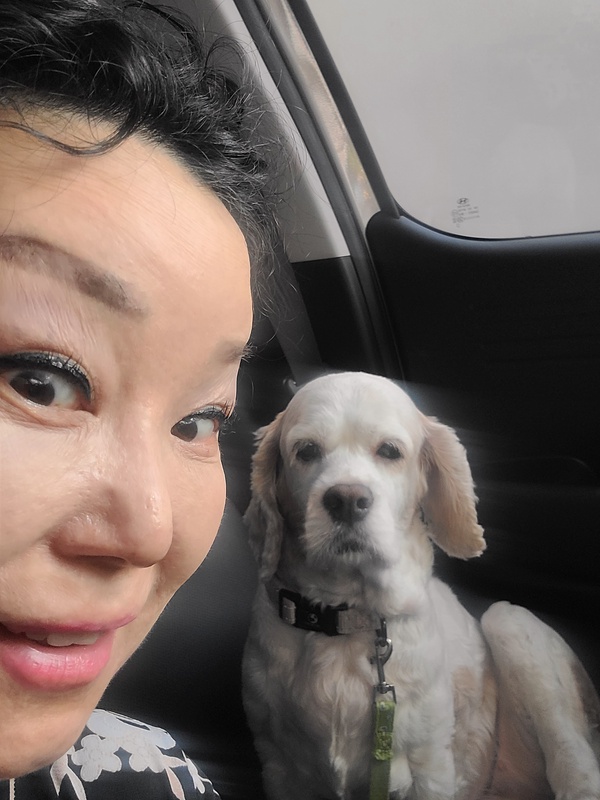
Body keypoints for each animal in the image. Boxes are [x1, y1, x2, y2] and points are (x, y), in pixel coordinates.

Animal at [242, 372, 600, 800]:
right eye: (307, 450)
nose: (347, 499)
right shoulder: (278, 766)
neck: (345, 618)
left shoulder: (429, 764)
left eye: (390, 451)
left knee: (576, 767)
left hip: (509, 621)